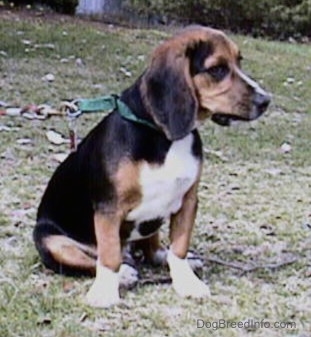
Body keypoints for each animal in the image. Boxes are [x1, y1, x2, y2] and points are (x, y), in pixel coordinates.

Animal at [32, 25, 270, 306]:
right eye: (217, 69)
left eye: (239, 62)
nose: (266, 100)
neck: (164, 137)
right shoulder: (108, 209)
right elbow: (108, 256)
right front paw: (105, 292)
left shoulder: (188, 200)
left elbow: (179, 248)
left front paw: (186, 281)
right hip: (50, 239)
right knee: (93, 259)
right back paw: (124, 274)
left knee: (153, 249)